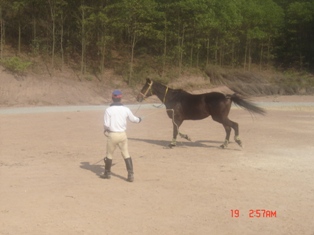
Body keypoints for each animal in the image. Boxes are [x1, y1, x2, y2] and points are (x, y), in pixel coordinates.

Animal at [136, 79, 266, 149]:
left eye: (145, 87)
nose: (138, 98)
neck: (173, 98)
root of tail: (227, 96)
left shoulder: (176, 118)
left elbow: (175, 130)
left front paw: (172, 144)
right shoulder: (178, 119)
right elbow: (177, 130)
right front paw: (186, 137)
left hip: (219, 117)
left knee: (234, 125)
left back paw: (239, 142)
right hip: (222, 118)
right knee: (228, 129)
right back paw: (224, 145)